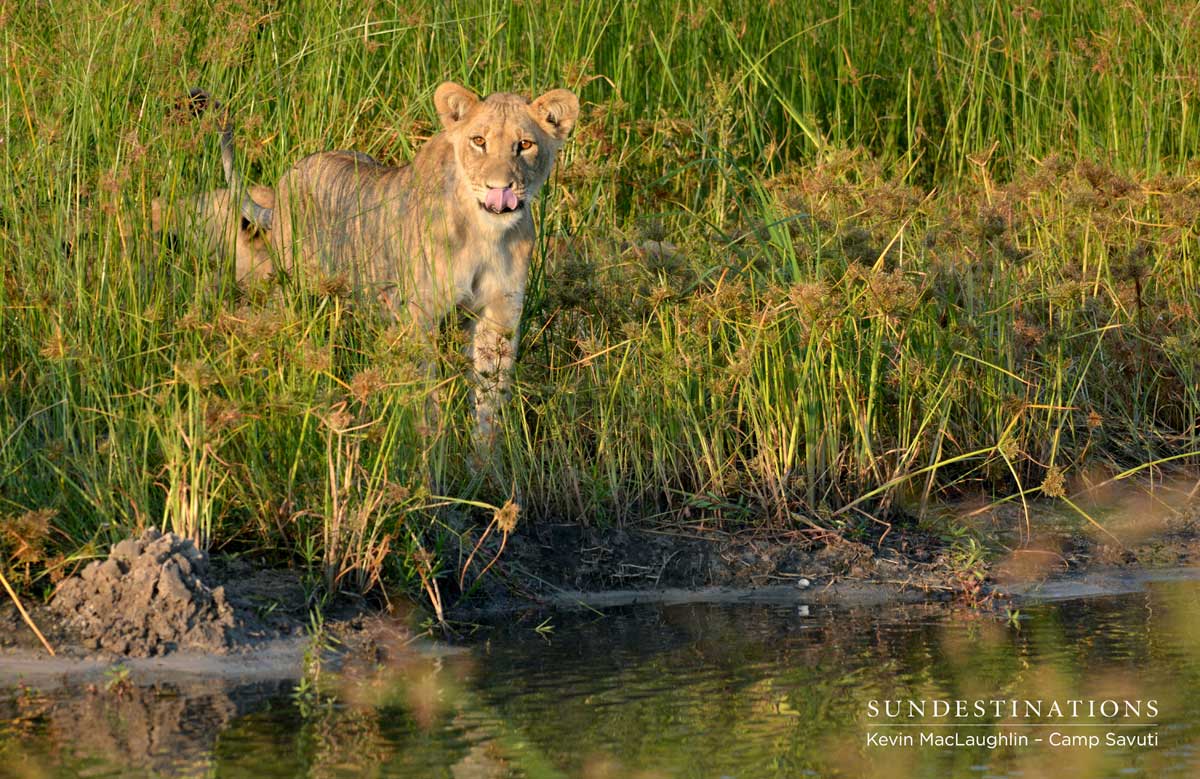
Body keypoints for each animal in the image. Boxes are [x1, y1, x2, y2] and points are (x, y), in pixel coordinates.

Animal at [215, 82, 579, 442]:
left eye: (525, 144)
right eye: (479, 141)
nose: (500, 188)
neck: (485, 235)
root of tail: (286, 180)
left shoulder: (498, 316)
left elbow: (490, 399)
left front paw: (485, 456)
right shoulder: (419, 314)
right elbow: (426, 393)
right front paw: (429, 446)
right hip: (293, 292)